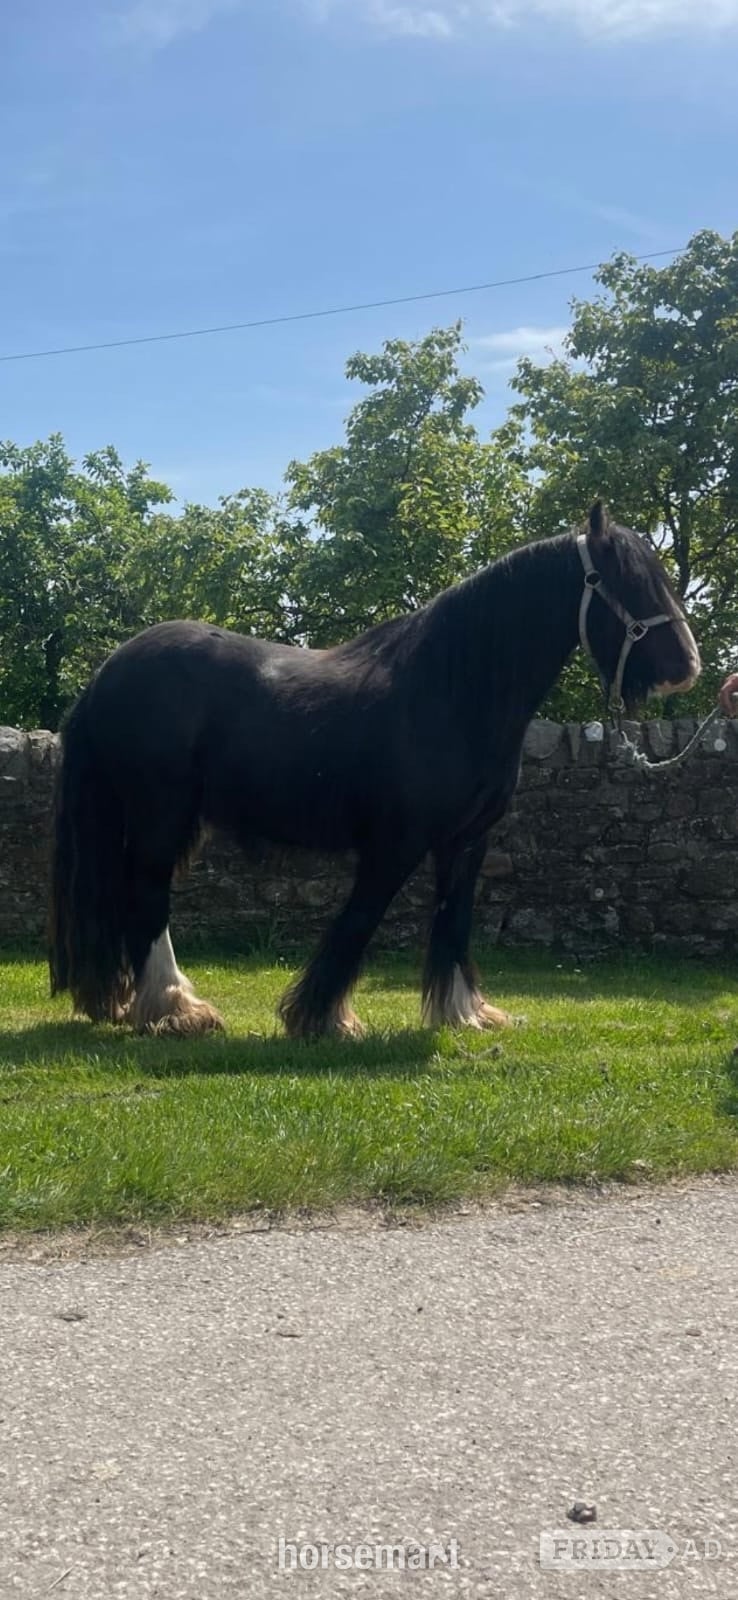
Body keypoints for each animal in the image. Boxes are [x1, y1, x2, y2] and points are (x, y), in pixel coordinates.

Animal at [49, 502, 700, 1039]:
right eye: (625, 580)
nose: (687, 667)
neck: (451, 690)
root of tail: (108, 673)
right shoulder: (396, 842)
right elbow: (360, 920)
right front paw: (319, 1017)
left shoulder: (468, 842)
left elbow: (454, 919)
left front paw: (464, 1013)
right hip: (162, 815)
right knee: (146, 894)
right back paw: (175, 1009)